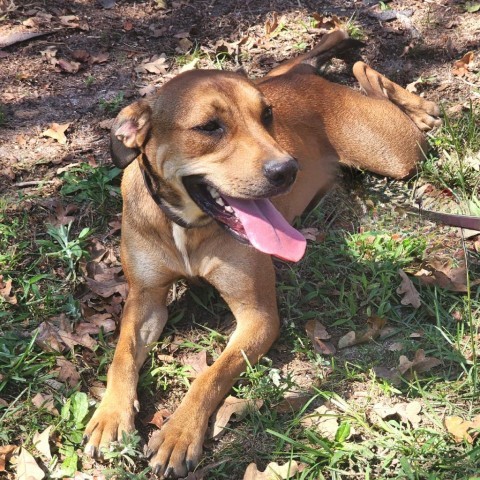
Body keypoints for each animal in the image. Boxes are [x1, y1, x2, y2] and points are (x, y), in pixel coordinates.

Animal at [83, 31, 438, 476]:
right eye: (209, 127)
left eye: (267, 116)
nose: (288, 170)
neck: (188, 227)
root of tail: (303, 78)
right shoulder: (145, 299)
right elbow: (123, 355)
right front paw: (111, 416)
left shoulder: (258, 316)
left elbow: (211, 376)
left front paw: (180, 432)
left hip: (397, 154)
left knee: (376, 85)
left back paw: (418, 106)